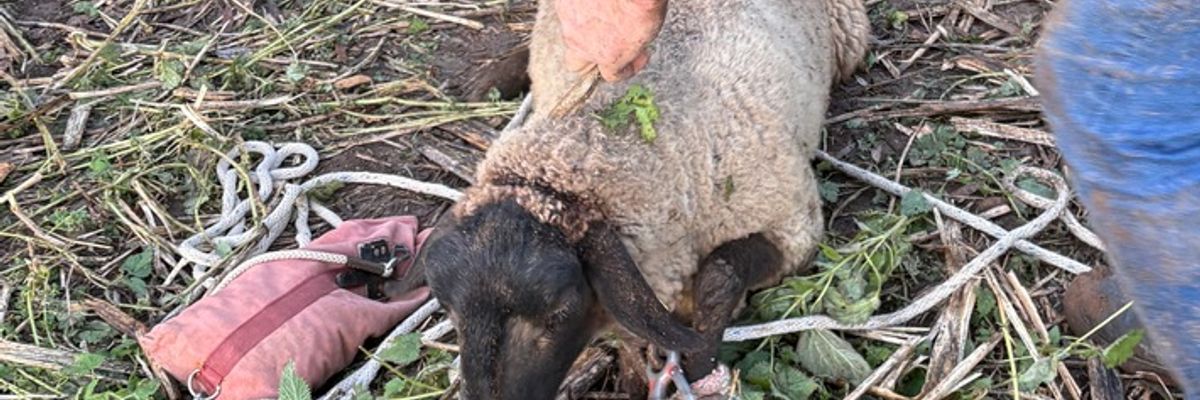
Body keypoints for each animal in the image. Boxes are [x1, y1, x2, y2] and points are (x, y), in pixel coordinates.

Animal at [409, 0, 870, 398]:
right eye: (449, 310)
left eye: (559, 313)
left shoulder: (793, 226)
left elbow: (719, 277)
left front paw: (699, 365)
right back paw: (488, 78)